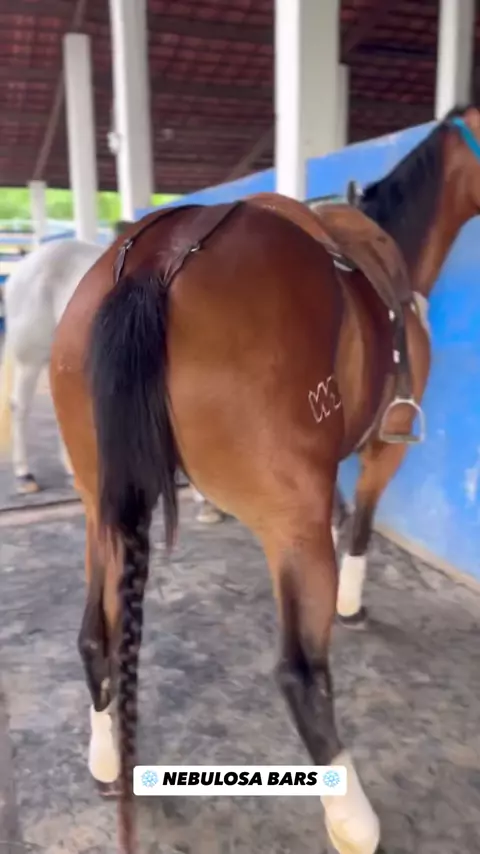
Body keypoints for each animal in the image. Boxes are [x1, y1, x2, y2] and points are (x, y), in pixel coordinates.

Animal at [47, 105, 480, 854]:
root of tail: (156, 259)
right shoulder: (381, 449)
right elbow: (362, 525)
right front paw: (353, 605)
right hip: (288, 523)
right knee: (301, 674)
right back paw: (353, 819)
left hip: (102, 506)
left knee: (96, 636)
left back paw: (106, 761)